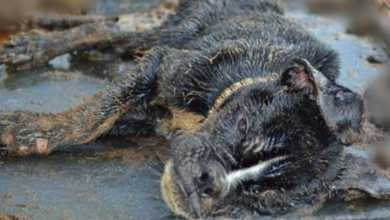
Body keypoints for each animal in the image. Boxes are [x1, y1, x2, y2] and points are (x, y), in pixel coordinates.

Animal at [0, 0, 368, 218]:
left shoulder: (150, 117)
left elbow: (105, 118)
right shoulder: (162, 64)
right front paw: (30, 133)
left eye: (264, 199)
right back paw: (34, 44)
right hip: (177, 31)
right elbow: (95, 114)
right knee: (104, 29)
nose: (207, 183)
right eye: (243, 126)